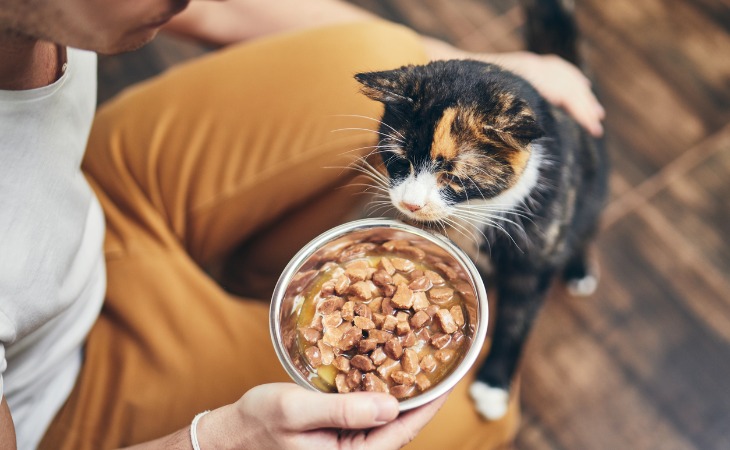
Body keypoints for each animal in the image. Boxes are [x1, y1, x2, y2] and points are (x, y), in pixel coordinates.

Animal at [350, 0, 604, 420]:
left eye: (452, 175)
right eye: (398, 159)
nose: (411, 203)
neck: (477, 211)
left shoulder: (533, 259)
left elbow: (516, 320)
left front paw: (494, 386)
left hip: (591, 193)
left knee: (586, 227)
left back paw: (580, 268)